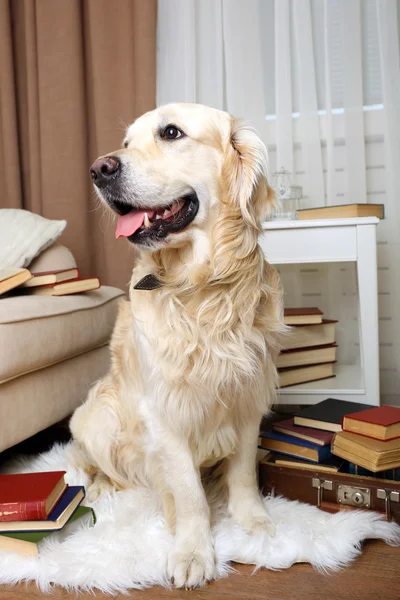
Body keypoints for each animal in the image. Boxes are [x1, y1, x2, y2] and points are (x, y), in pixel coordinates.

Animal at [71, 102, 284, 584]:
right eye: (126, 143)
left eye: (171, 133)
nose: (98, 168)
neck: (201, 287)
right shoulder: (164, 411)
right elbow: (188, 493)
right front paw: (193, 552)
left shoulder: (247, 396)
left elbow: (244, 472)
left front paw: (256, 523)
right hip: (95, 415)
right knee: (92, 463)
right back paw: (97, 488)